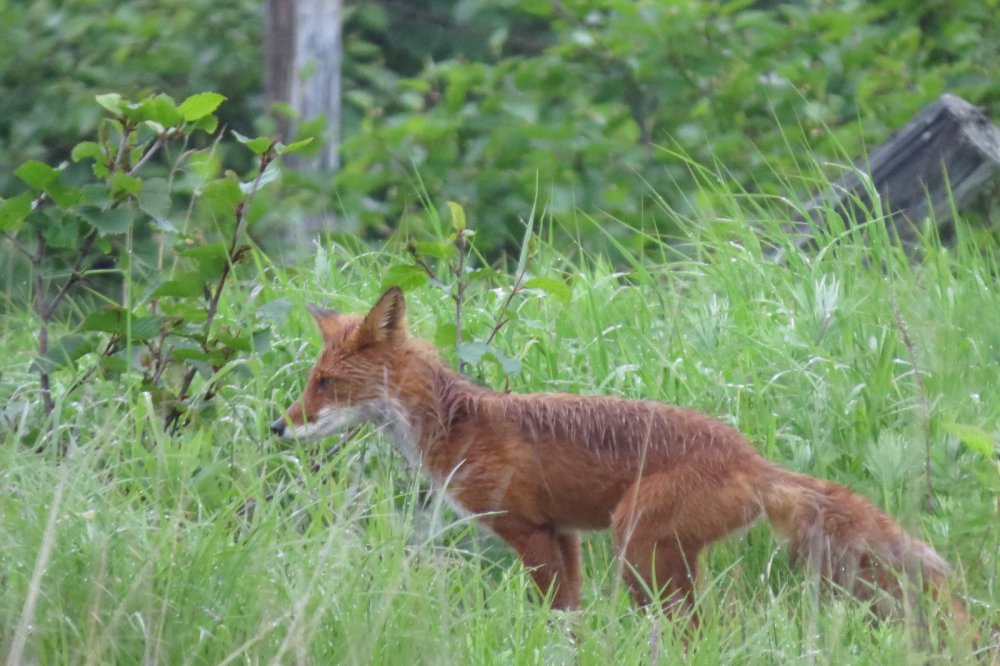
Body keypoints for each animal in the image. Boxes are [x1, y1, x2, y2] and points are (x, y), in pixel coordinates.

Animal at [272, 290, 968, 624]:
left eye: (325, 384)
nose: (278, 427)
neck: (457, 424)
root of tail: (752, 460)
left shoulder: (531, 533)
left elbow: (554, 612)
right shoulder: (564, 536)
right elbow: (570, 620)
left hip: (637, 547)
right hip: (647, 556)